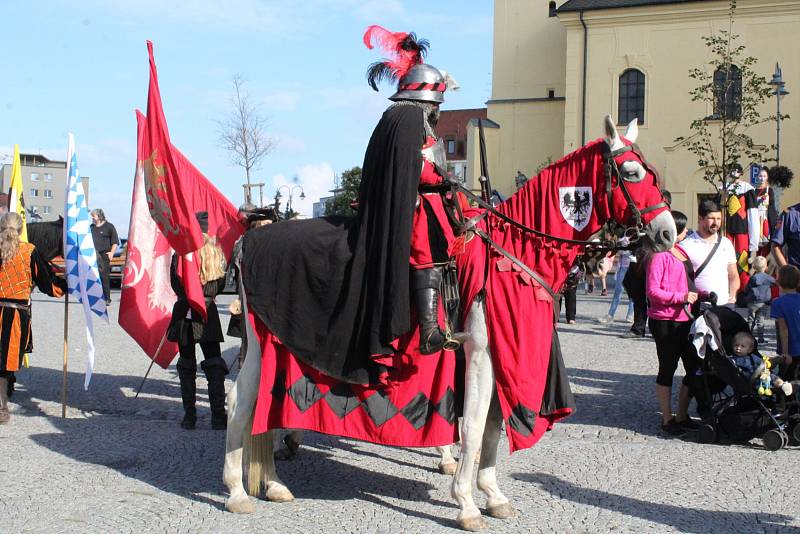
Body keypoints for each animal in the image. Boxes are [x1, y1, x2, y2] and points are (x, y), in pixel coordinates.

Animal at [220, 118, 676, 532]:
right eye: (632, 174)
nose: (669, 233)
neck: (511, 251)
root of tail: (249, 239)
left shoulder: (500, 358)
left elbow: (492, 428)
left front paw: (493, 495)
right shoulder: (481, 355)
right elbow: (473, 428)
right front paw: (466, 503)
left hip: (279, 347)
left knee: (267, 405)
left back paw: (273, 483)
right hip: (261, 344)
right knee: (241, 403)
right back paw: (238, 492)